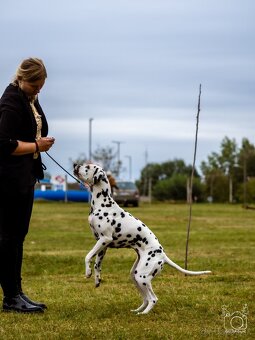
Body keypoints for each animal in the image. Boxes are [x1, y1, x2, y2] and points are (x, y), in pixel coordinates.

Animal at [73, 163, 211, 314]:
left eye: (87, 166)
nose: (75, 165)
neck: (103, 203)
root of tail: (163, 256)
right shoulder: (102, 244)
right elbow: (97, 265)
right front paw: (97, 279)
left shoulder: (105, 239)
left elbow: (87, 256)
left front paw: (87, 272)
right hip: (135, 276)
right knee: (145, 298)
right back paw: (137, 311)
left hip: (142, 276)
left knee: (153, 298)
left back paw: (143, 314)